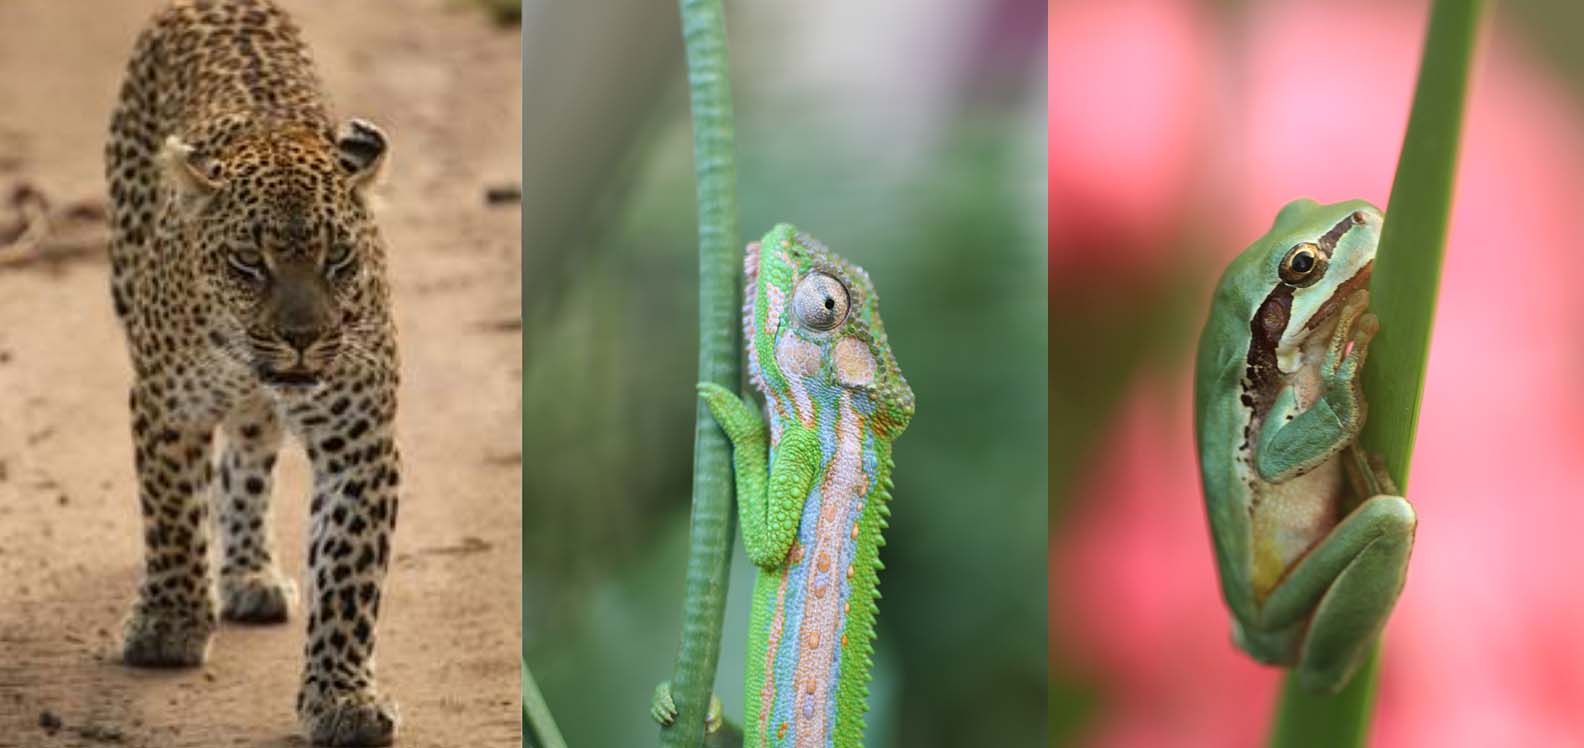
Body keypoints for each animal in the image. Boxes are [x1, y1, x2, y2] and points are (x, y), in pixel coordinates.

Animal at [104, 2, 402, 744]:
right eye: (248, 263)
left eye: (339, 260)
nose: (302, 339)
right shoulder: (166, 405)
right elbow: (172, 514)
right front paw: (170, 623)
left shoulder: (361, 443)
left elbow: (347, 574)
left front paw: (342, 698)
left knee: (250, 444)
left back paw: (249, 570)